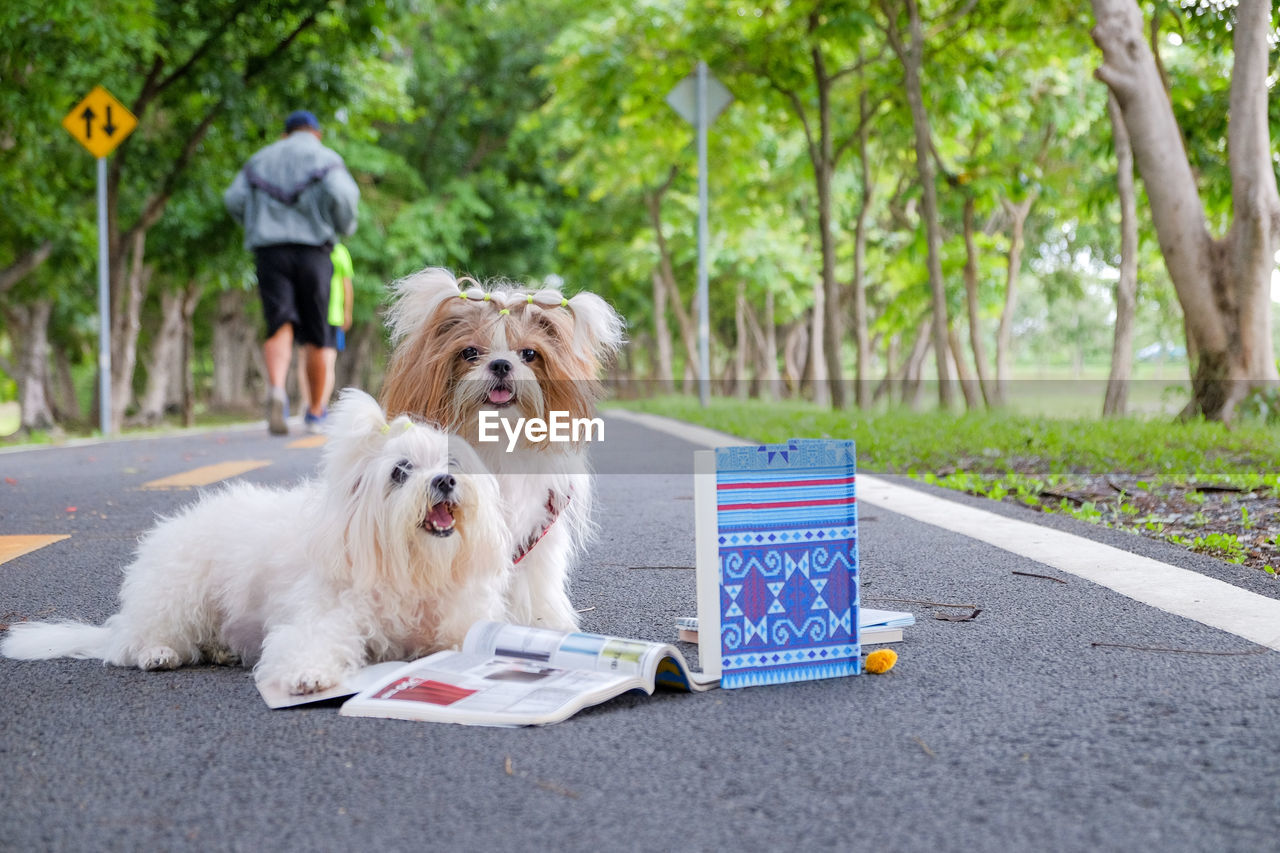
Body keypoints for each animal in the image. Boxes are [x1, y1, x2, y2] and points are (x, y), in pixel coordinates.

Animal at [1, 389, 509, 696]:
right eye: (401, 471)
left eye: (452, 464)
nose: (444, 481)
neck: (412, 568)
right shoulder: (323, 618)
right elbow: (311, 644)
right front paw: (309, 675)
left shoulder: (458, 622)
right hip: (176, 596)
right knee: (131, 644)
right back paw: (157, 653)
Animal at [376, 266, 622, 630]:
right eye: (470, 353)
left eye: (529, 354)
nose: (502, 364)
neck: (497, 433)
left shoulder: (536, 528)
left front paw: (543, 623)